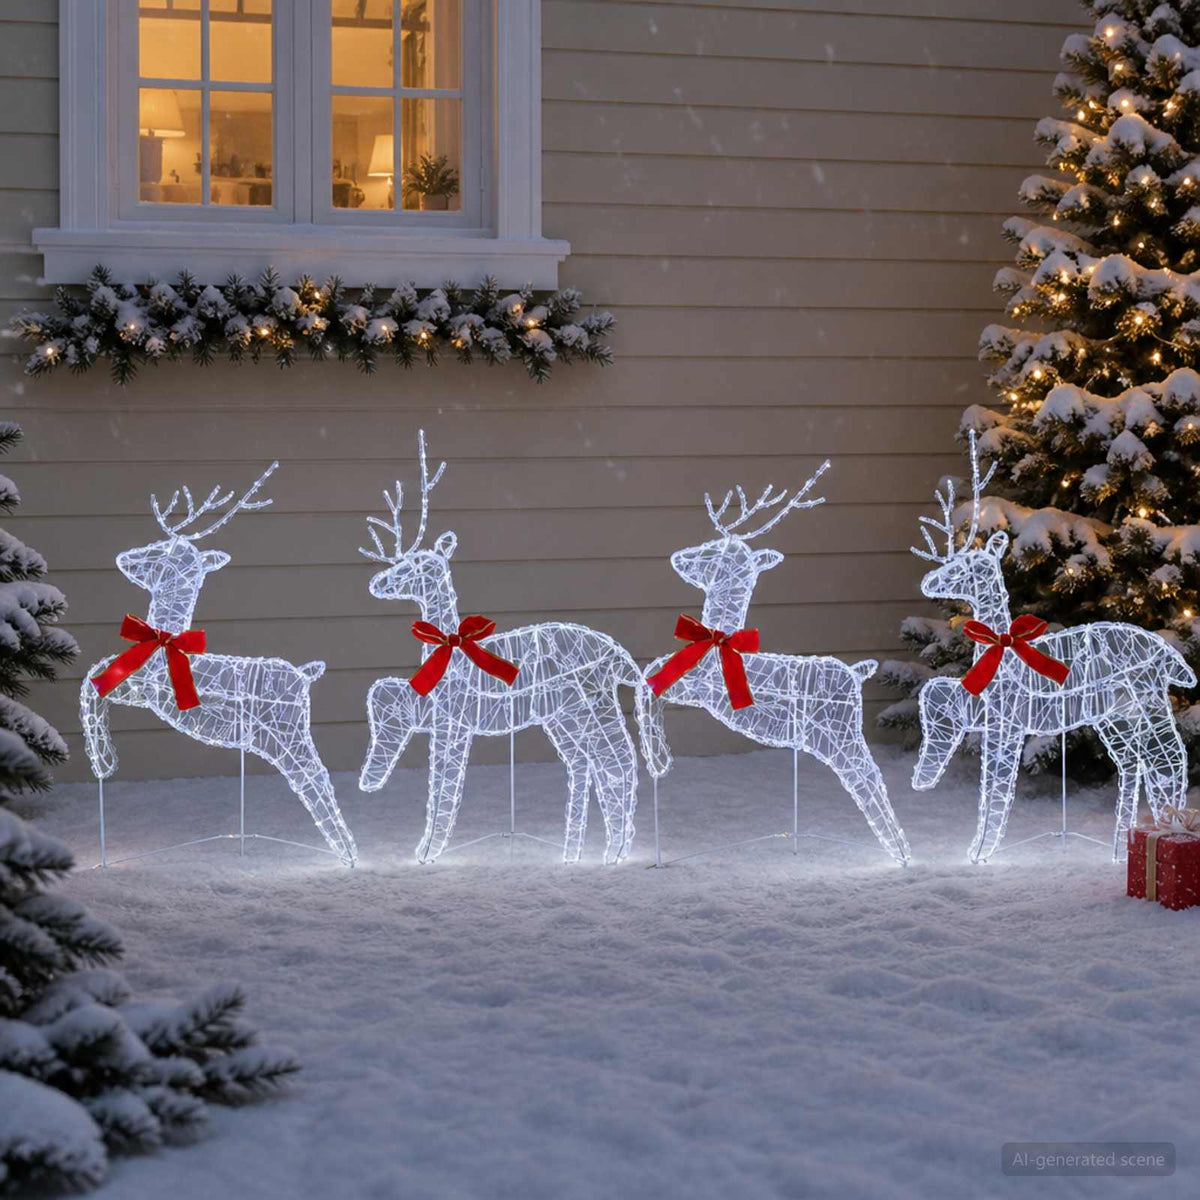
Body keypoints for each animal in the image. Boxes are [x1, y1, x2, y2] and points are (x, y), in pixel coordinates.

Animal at [79, 464, 358, 866]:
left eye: (163, 552)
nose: (124, 559)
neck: (165, 638)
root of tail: (305, 676)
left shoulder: (145, 689)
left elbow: (90, 682)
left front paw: (103, 762)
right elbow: (93, 682)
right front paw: (107, 761)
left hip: (289, 731)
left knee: (315, 776)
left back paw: (347, 854)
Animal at [358, 432, 669, 865]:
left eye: (418, 565)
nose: (377, 583)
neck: (451, 649)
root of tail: (621, 658)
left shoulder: (454, 723)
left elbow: (444, 784)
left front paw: (427, 852)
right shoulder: (443, 721)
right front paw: (422, 850)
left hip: (592, 705)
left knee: (619, 760)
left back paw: (613, 854)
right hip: (563, 716)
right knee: (592, 763)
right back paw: (581, 853)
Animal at [636, 466, 912, 865]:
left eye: (715, 551)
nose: (678, 557)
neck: (718, 638)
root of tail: (856, 675)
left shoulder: (700, 688)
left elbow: (647, 681)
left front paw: (659, 760)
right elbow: (651, 683)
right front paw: (663, 758)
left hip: (841, 734)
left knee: (868, 779)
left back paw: (900, 853)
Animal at [911, 431, 1196, 863]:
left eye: (970, 566)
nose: (929, 582)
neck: (1002, 649)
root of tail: (1172, 658)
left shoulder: (1008, 724)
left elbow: (997, 786)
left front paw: (980, 852)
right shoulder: (993, 720)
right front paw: (975, 848)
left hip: (1147, 698)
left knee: (1169, 757)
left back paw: (1170, 827)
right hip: (1113, 715)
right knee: (1136, 761)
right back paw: (1124, 847)